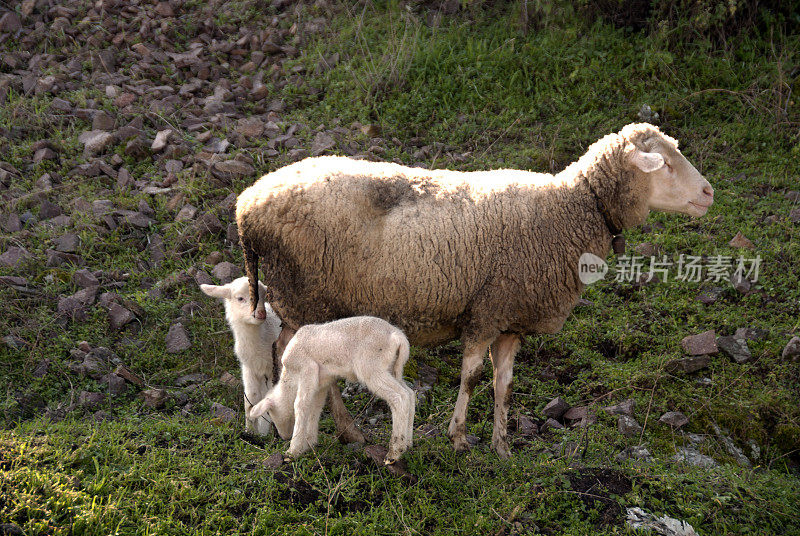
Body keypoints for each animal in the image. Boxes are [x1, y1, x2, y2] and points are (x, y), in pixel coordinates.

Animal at [200, 276, 282, 436]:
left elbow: (268, 398)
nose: (261, 313)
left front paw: (263, 431)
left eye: (264, 296)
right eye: (240, 298)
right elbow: (250, 399)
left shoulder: (272, 368)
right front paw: (250, 431)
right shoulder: (248, 368)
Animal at [248, 316, 412, 462]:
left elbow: (300, 406)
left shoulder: (308, 370)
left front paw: (292, 451)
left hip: (371, 367)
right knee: (409, 393)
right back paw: (408, 443)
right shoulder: (321, 383)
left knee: (399, 397)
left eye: (270, 413)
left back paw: (394, 452)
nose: (284, 437)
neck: (290, 378)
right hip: (392, 367)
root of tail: (397, 336)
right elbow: (315, 408)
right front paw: (309, 443)